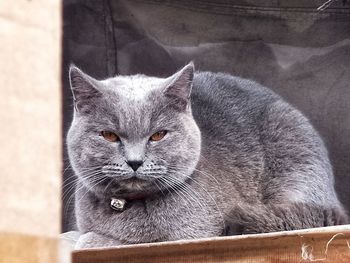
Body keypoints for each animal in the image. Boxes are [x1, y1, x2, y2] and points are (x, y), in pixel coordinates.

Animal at [66, 63, 348, 249]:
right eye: (109, 135)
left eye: (158, 135)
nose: (135, 161)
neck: (126, 206)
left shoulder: (192, 234)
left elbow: (97, 241)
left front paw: (93, 240)